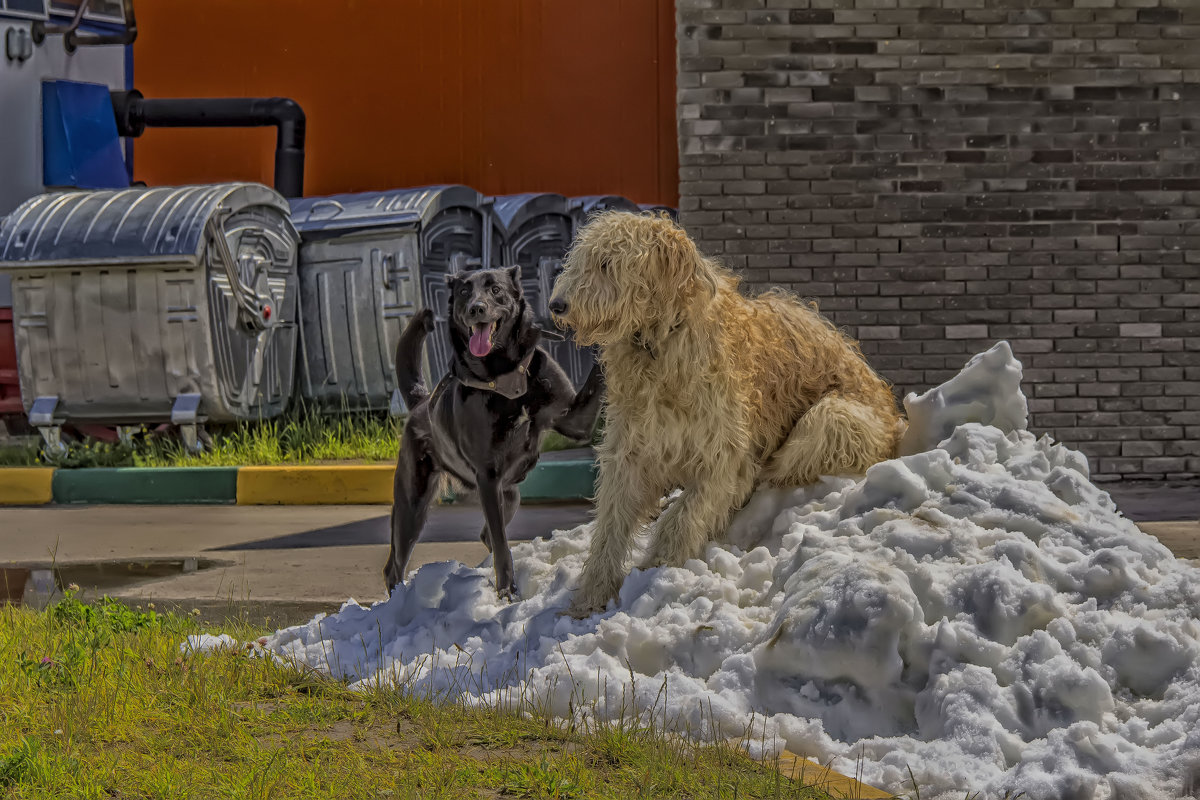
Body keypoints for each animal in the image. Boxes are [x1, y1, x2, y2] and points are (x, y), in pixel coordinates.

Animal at [388, 266, 604, 597]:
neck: (505, 374)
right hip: (413, 504)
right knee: (395, 565)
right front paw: (508, 593)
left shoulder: (574, 419)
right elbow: (502, 547)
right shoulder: (487, 476)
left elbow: (596, 375)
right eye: (465, 292)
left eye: (496, 290)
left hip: (510, 494)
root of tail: (419, 402)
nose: (476, 309)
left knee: (487, 534)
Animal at [549, 211, 902, 614]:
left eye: (607, 263)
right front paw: (591, 597)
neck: (660, 342)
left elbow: (685, 513)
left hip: (829, 417)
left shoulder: (724, 454)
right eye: (580, 260)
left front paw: (659, 567)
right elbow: (611, 523)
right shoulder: (631, 452)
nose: (556, 305)